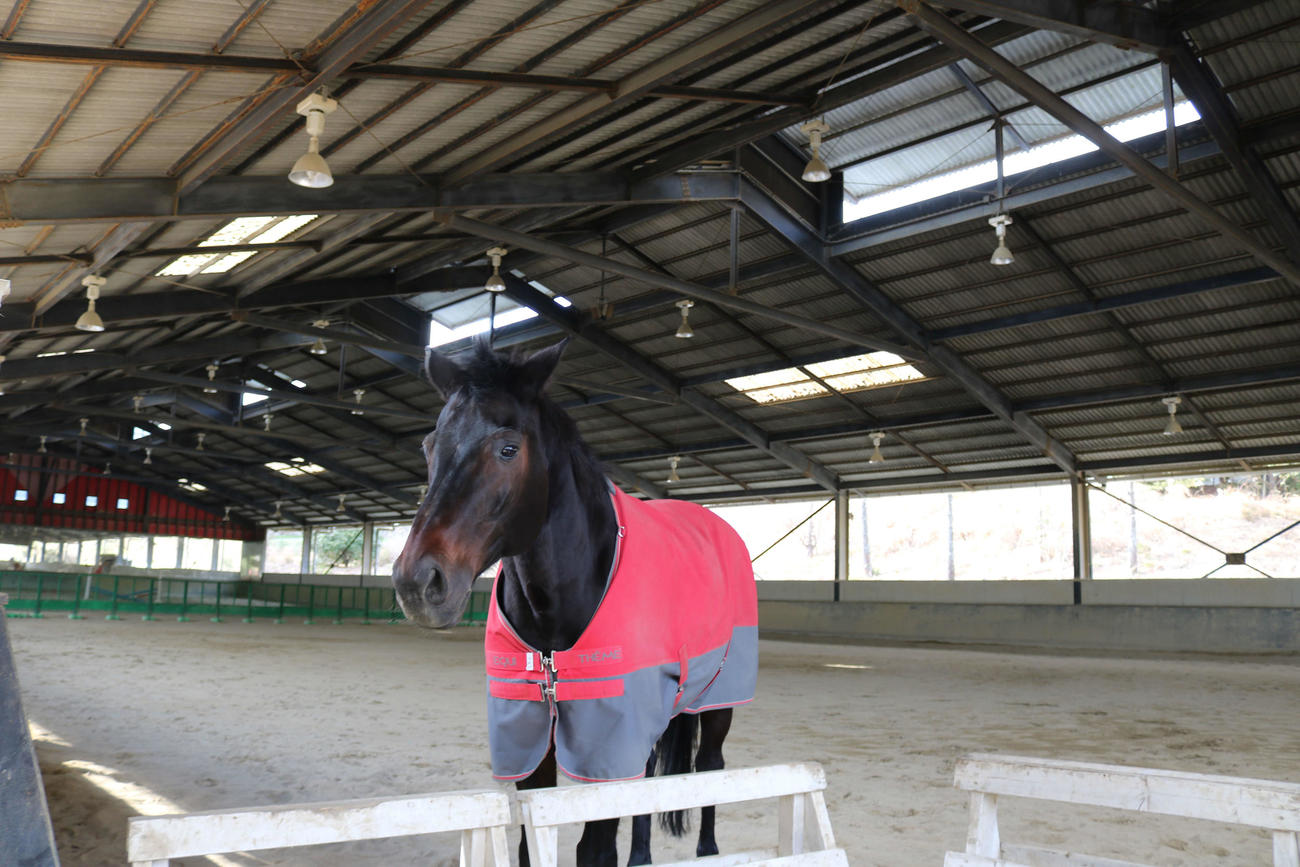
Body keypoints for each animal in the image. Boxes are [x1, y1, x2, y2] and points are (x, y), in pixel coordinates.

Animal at [392, 339, 758, 867]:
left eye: (508, 448)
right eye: (428, 445)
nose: (418, 582)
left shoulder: (604, 737)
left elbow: (595, 849)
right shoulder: (532, 737)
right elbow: (529, 843)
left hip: (719, 697)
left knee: (711, 767)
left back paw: (708, 850)